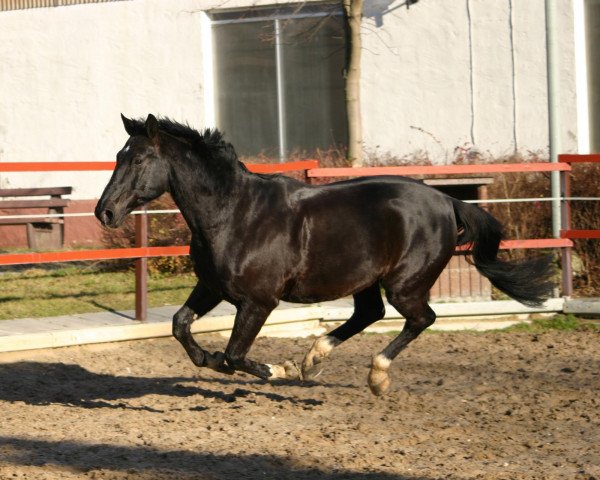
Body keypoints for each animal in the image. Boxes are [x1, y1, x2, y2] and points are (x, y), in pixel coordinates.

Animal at [95, 114, 552, 396]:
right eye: (118, 156)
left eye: (139, 159)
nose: (105, 212)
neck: (233, 213)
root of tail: (448, 200)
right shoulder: (212, 287)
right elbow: (181, 327)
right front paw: (209, 359)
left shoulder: (258, 301)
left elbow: (235, 354)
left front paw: (276, 370)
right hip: (366, 280)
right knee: (370, 313)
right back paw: (313, 358)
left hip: (404, 283)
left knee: (420, 318)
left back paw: (375, 376)